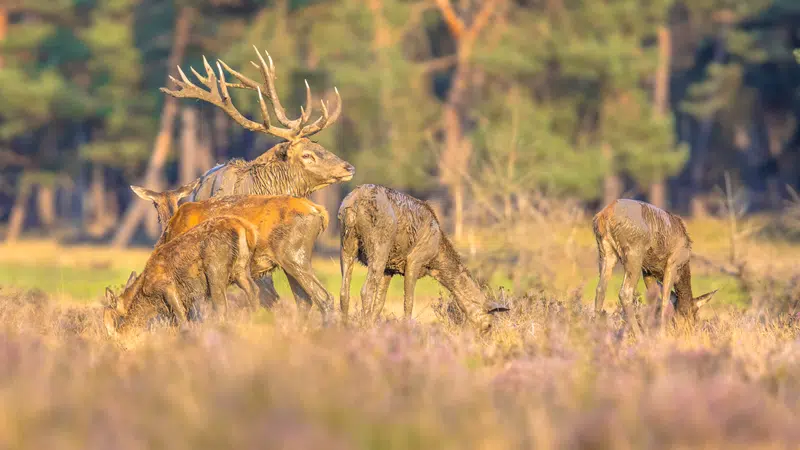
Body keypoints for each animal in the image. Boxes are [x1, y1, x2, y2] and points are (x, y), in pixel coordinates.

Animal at [103, 216, 260, 338]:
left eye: (116, 319)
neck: (150, 298)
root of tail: (245, 228)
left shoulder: (167, 287)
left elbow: (182, 317)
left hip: (216, 269)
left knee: (220, 304)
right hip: (241, 268)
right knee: (254, 290)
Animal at [338, 184, 505, 334]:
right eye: (489, 324)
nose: (485, 336)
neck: (436, 260)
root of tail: (352, 203)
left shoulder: (389, 269)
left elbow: (380, 302)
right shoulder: (414, 260)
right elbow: (408, 302)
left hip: (347, 244)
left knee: (344, 291)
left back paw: (345, 329)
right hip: (379, 245)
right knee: (365, 290)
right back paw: (364, 328)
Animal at [592, 199, 718, 331]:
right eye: (693, 315)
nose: (691, 329)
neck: (683, 268)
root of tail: (605, 215)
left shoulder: (647, 271)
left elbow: (654, 300)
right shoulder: (673, 263)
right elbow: (665, 300)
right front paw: (662, 331)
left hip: (605, 252)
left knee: (600, 289)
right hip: (634, 253)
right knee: (625, 293)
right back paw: (638, 333)